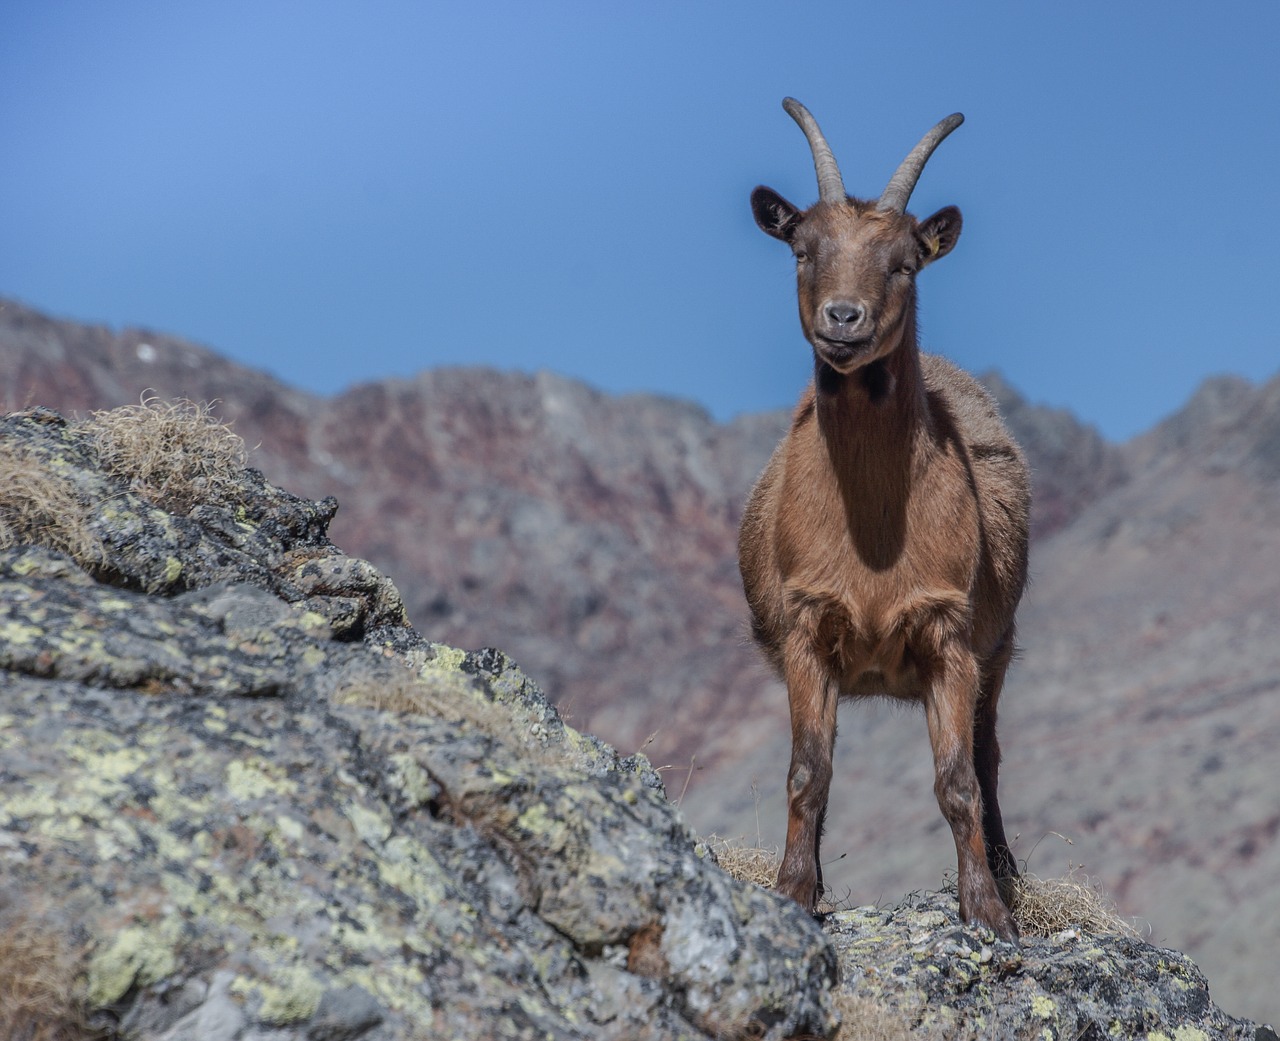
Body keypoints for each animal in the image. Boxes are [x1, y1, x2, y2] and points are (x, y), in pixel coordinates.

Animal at [742, 99, 1029, 942]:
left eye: (905, 261)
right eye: (803, 249)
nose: (844, 318)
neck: (872, 537)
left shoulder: (951, 634)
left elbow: (958, 777)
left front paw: (987, 910)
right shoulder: (806, 628)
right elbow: (809, 770)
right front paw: (794, 892)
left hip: (1000, 647)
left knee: (990, 753)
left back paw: (1008, 870)